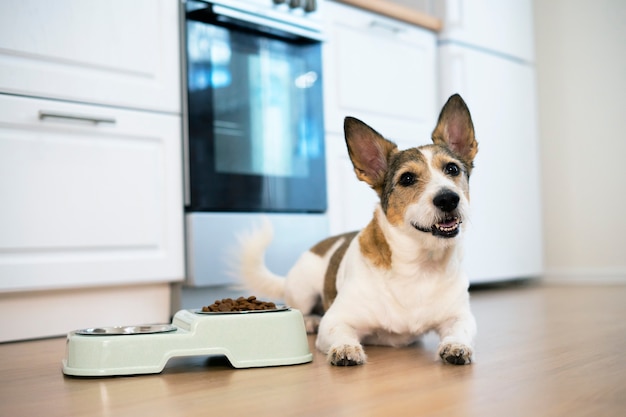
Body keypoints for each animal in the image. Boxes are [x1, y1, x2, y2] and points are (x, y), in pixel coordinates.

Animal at [239, 93, 478, 364]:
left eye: (452, 169)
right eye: (407, 178)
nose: (448, 199)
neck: (418, 266)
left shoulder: (460, 316)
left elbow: (460, 329)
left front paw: (456, 346)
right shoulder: (336, 319)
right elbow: (340, 331)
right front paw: (346, 348)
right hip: (303, 289)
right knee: (305, 308)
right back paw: (310, 320)